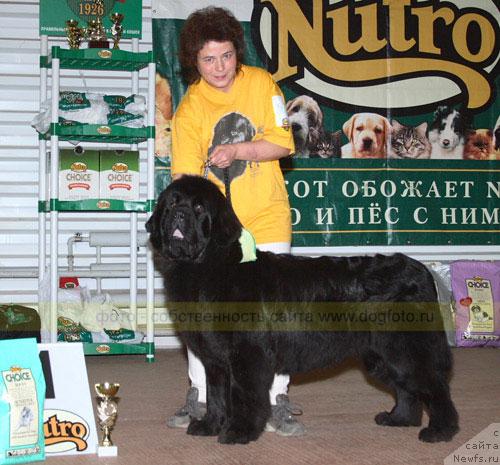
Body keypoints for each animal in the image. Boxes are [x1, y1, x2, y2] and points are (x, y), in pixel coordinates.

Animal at [146, 176, 458, 444]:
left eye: (199, 208)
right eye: (171, 204)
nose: (179, 215)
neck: (208, 266)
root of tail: (420, 269)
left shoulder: (248, 354)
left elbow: (244, 396)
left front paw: (239, 432)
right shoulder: (215, 359)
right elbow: (215, 395)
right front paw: (210, 425)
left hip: (405, 349)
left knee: (434, 387)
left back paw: (440, 431)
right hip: (381, 355)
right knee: (407, 388)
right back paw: (399, 419)